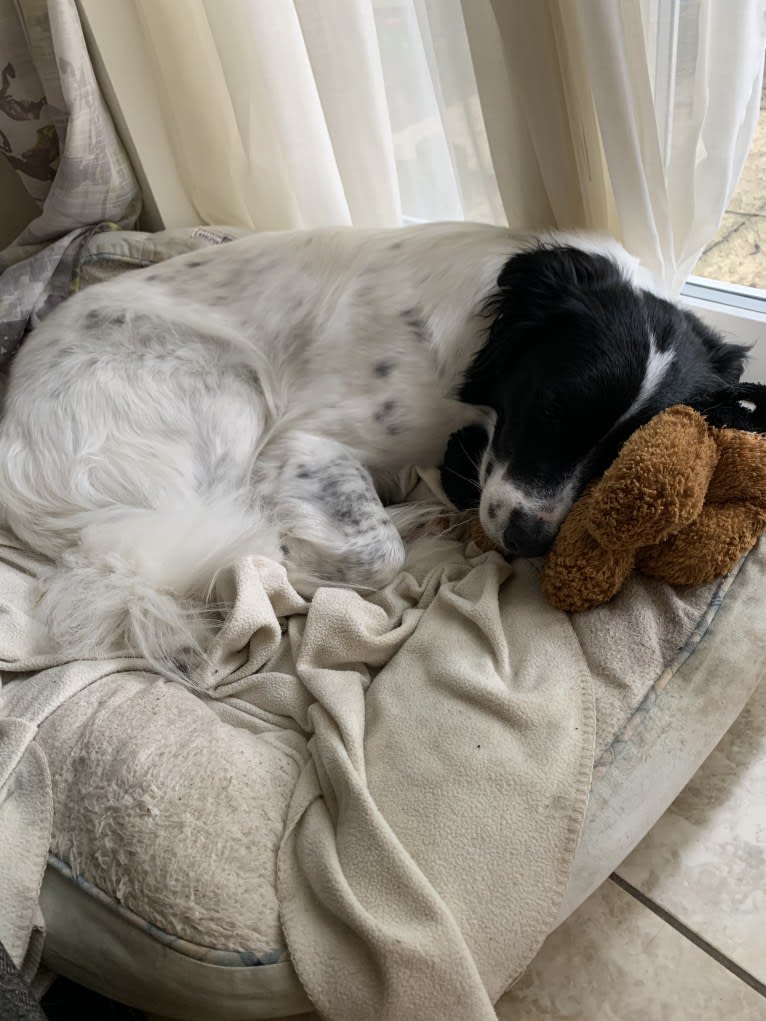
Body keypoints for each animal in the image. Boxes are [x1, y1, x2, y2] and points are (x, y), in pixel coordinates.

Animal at [0, 225, 751, 669]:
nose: (530, 540)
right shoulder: (304, 441)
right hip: (227, 386)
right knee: (236, 551)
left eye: (618, 454)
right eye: (549, 409)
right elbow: (372, 550)